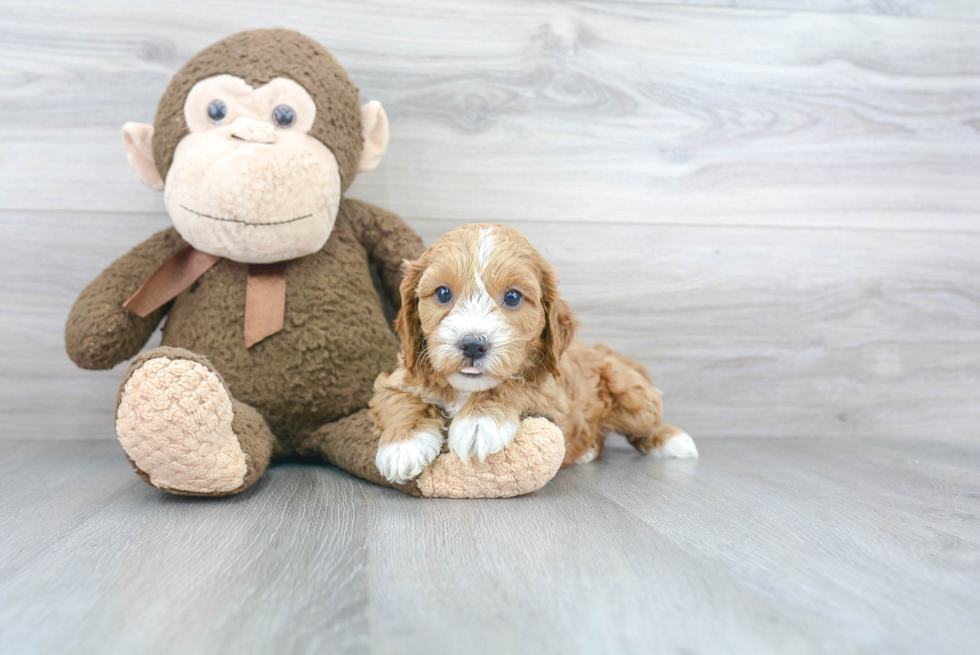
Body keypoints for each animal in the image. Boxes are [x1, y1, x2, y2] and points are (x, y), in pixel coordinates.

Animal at [370, 223, 696, 484]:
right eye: (442, 293)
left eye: (513, 297)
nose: (473, 344)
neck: (466, 389)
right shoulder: (398, 377)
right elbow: (399, 399)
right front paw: (403, 445)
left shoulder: (555, 399)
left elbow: (515, 384)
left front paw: (479, 421)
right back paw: (589, 450)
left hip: (631, 395)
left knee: (649, 420)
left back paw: (674, 441)